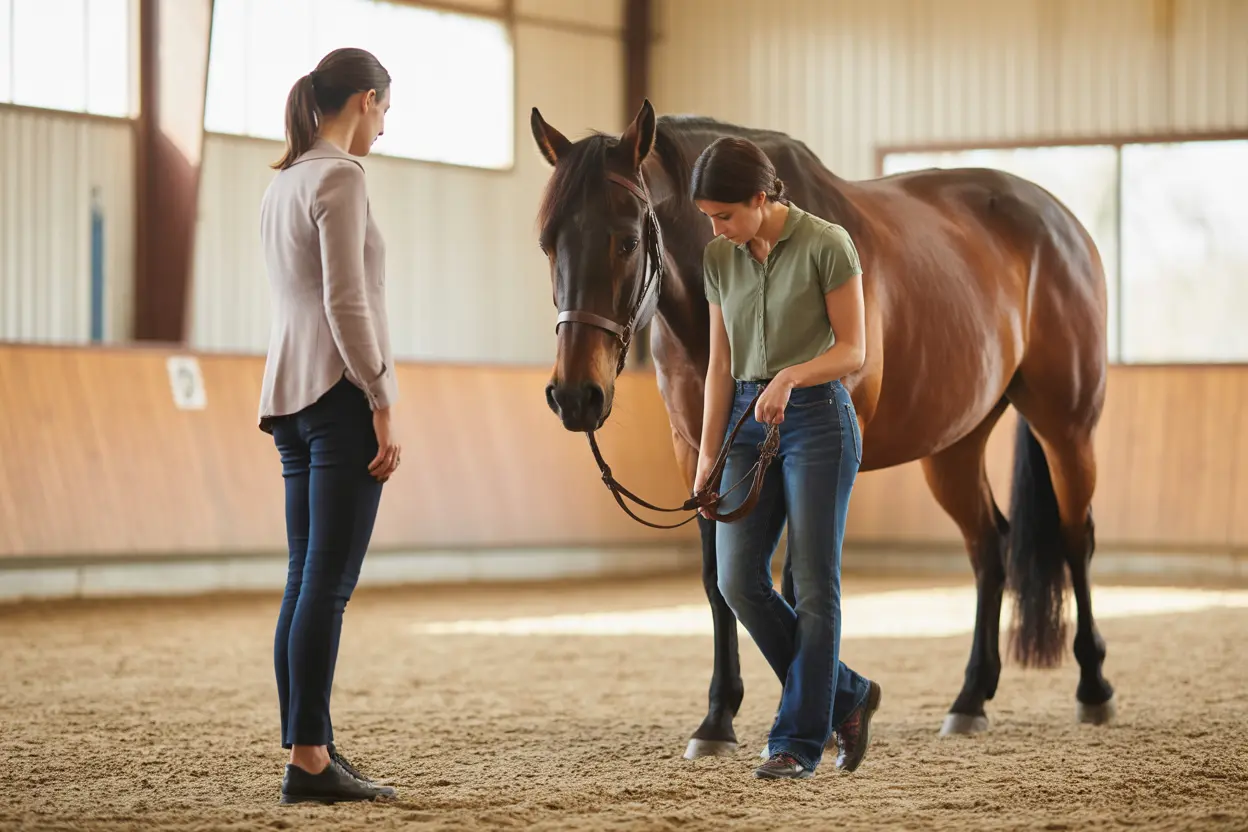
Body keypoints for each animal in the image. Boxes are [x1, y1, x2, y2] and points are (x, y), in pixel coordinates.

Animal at [530, 98, 1116, 759]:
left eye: (628, 240)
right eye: (548, 243)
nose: (575, 396)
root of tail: (1061, 223)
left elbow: (794, 579)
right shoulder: (697, 451)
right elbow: (718, 581)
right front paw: (717, 720)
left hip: (1066, 424)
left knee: (1074, 537)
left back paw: (1093, 689)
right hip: (954, 446)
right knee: (990, 547)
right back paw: (970, 700)